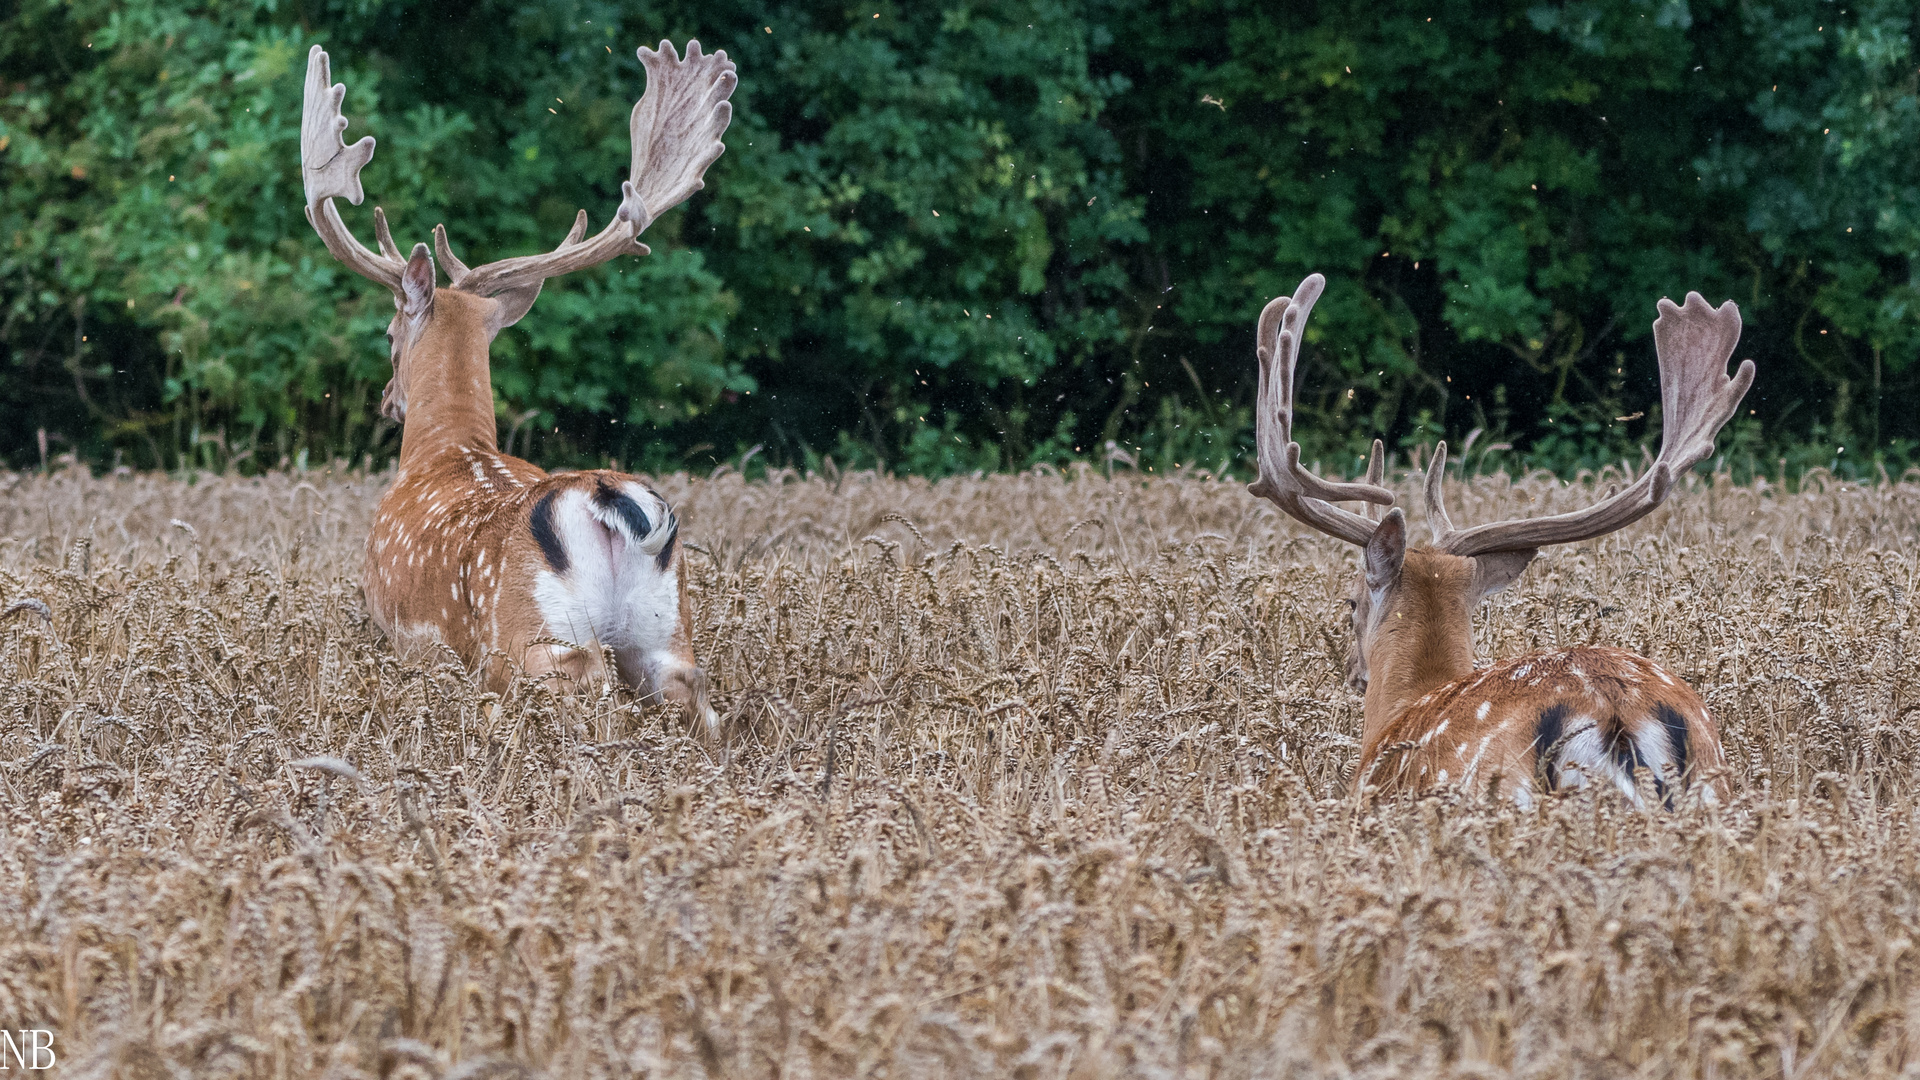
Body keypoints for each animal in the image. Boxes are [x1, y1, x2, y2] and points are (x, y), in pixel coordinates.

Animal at [299, 42, 733, 730]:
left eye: (389, 334)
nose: (388, 401)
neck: (445, 449)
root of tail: (611, 503)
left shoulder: (389, 625)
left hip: (534, 638)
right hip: (668, 636)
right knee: (697, 701)